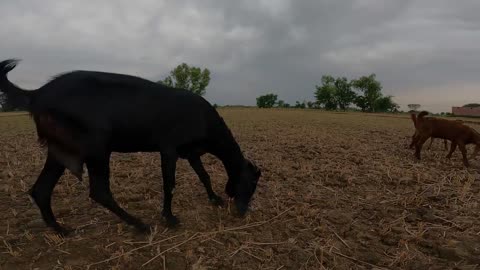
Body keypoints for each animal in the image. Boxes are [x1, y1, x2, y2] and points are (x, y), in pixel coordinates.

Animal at [0, 58, 262, 234]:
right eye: (250, 183)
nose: (242, 212)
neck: (203, 119)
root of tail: (37, 94)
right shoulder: (169, 150)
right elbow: (169, 184)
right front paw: (169, 218)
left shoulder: (191, 153)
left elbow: (204, 176)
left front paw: (214, 199)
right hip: (97, 147)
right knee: (99, 191)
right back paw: (139, 224)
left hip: (60, 151)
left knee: (41, 190)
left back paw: (61, 230)